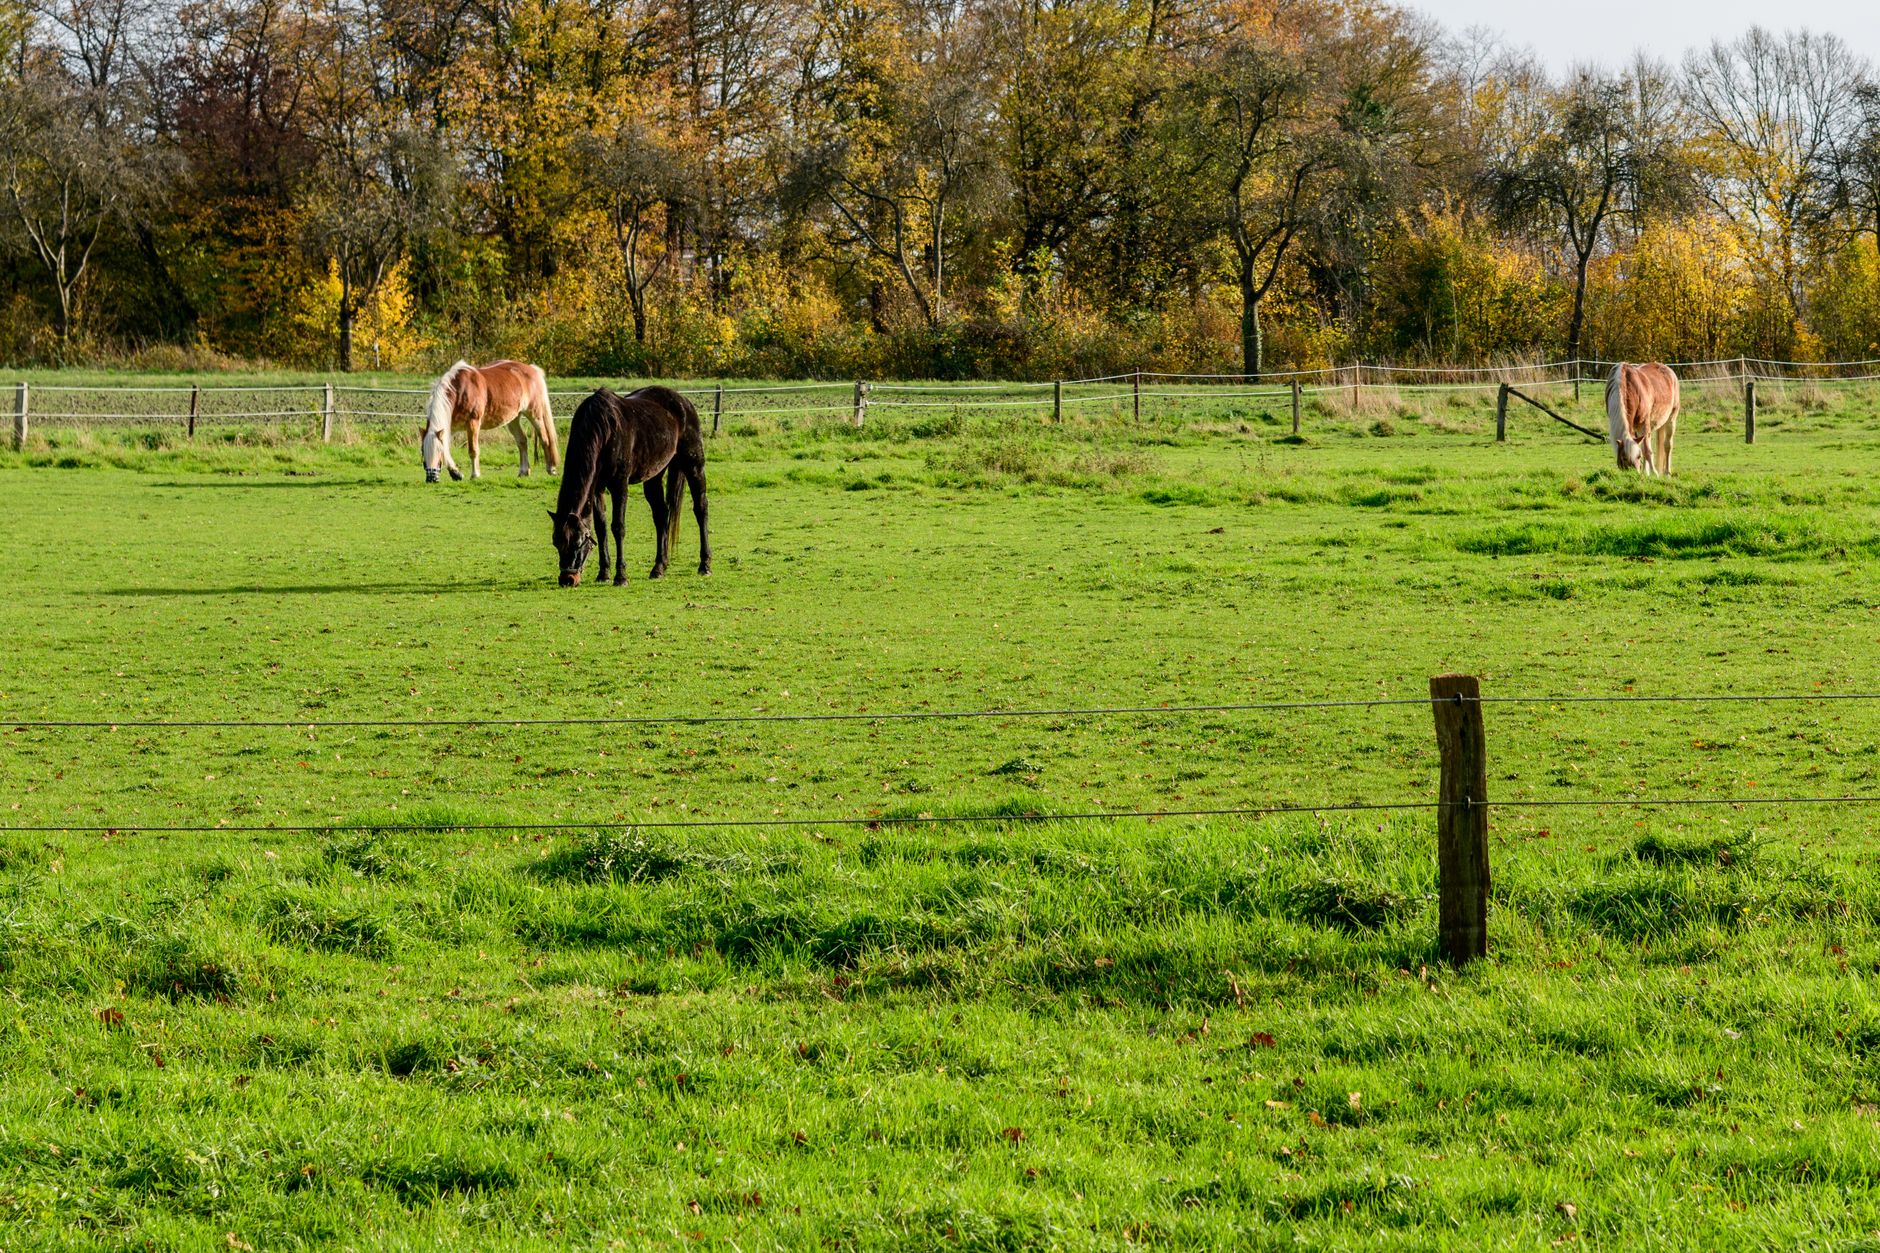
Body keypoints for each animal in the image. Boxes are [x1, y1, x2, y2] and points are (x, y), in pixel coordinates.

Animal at [421, 360, 560, 482]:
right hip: (513, 419)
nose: (431, 479)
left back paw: (551, 468)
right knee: (522, 441)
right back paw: (523, 471)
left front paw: (475, 475)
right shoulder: (450, 427)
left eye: (438, 453)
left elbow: (473, 450)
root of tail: (532, 369)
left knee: (545, 439)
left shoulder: (473, 423)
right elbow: (447, 449)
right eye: (422, 451)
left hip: (534, 414)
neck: (461, 390)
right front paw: (456, 473)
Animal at [548, 386, 710, 586]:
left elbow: (618, 527)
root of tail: (683, 401)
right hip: (654, 475)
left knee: (701, 509)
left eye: (577, 542)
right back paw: (659, 567)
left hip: (694, 465)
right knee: (661, 515)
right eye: (556, 542)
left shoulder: (619, 485)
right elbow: (601, 528)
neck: (603, 430)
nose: (567, 579)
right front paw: (604, 573)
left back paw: (705, 564)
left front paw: (621, 576)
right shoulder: (597, 489)